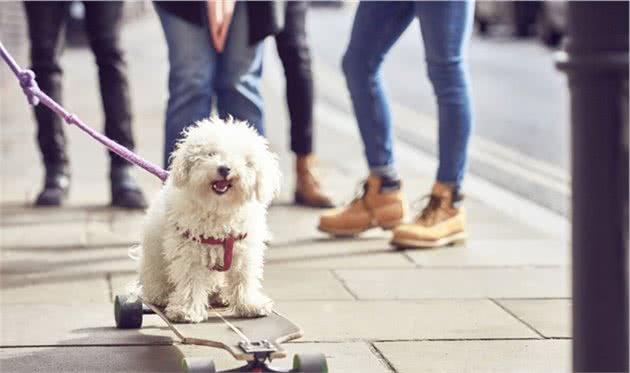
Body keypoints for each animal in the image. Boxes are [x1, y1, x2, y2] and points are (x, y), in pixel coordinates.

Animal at [134, 117, 282, 322]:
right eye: (210, 154)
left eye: (244, 160)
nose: (224, 168)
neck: (218, 209)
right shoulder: (189, 251)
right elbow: (190, 281)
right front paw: (186, 310)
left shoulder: (243, 250)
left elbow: (243, 277)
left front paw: (250, 304)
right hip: (154, 260)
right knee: (156, 280)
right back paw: (162, 295)